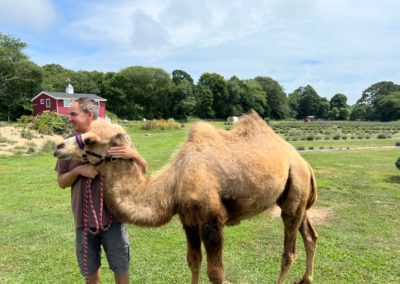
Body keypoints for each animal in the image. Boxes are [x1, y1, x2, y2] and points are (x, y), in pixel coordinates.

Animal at [54, 111, 320, 284]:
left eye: (90, 140)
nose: (58, 147)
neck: (175, 181)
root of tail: (304, 162)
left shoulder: (212, 220)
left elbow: (216, 273)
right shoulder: (188, 220)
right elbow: (193, 260)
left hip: (295, 188)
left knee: (289, 252)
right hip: (297, 196)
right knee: (310, 236)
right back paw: (306, 279)